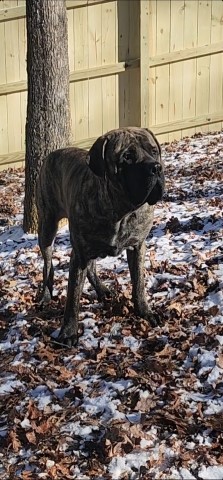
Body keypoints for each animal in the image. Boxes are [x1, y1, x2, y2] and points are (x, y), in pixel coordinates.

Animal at [36, 127, 165, 344]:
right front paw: (68, 332)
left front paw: (145, 311)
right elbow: (72, 296)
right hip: (47, 226)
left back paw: (102, 289)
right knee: (47, 263)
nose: (156, 168)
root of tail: (51, 155)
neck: (121, 211)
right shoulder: (79, 253)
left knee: (91, 266)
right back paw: (45, 294)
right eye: (127, 157)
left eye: (154, 151)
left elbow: (139, 283)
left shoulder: (138, 245)